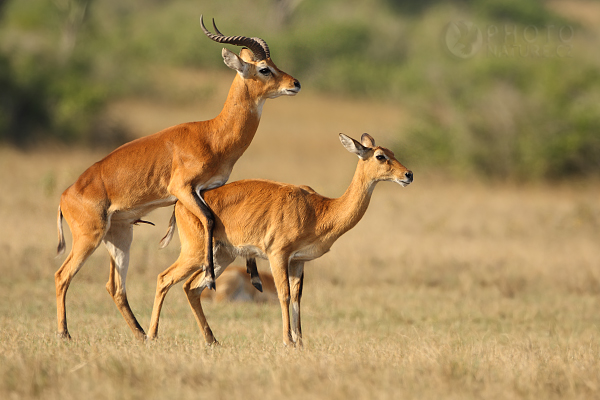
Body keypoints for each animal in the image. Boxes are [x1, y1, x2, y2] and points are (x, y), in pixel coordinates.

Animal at [55, 16, 300, 340]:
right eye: (264, 68)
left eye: (273, 63)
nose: (295, 84)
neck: (212, 135)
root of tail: (65, 195)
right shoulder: (183, 189)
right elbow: (208, 221)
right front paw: (209, 276)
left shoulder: (211, 188)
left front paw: (252, 277)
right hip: (89, 237)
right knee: (62, 275)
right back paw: (65, 333)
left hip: (119, 236)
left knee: (115, 287)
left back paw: (141, 334)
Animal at [149, 134, 412, 346]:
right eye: (380, 156)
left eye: (392, 153)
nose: (408, 174)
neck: (319, 210)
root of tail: (180, 204)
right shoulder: (278, 255)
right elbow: (283, 295)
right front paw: (287, 341)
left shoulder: (298, 261)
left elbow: (296, 298)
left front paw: (301, 343)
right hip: (194, 253)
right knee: (164, 278)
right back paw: (151, 336)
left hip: (222, 256)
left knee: (191, 287)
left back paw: (212, 340)